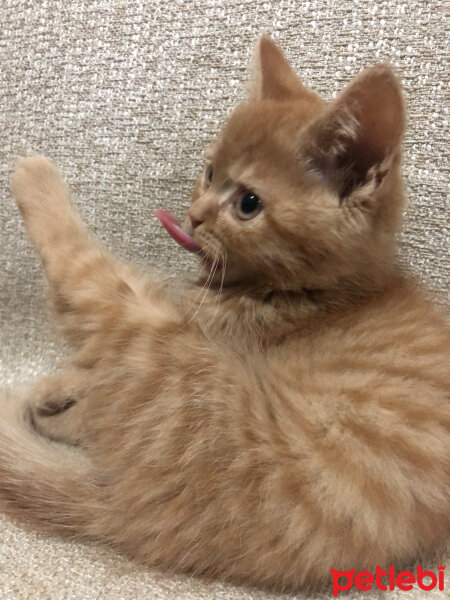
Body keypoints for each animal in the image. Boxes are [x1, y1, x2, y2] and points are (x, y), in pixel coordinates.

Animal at [0, 37, 450, 592]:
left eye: (248, 203)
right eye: (210, 172)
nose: (193, 217)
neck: (313, 293)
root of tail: (125, 514)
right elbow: (90, 375)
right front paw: (56, 387)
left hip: (183, 377)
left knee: (89, 282)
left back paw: (37, 178)